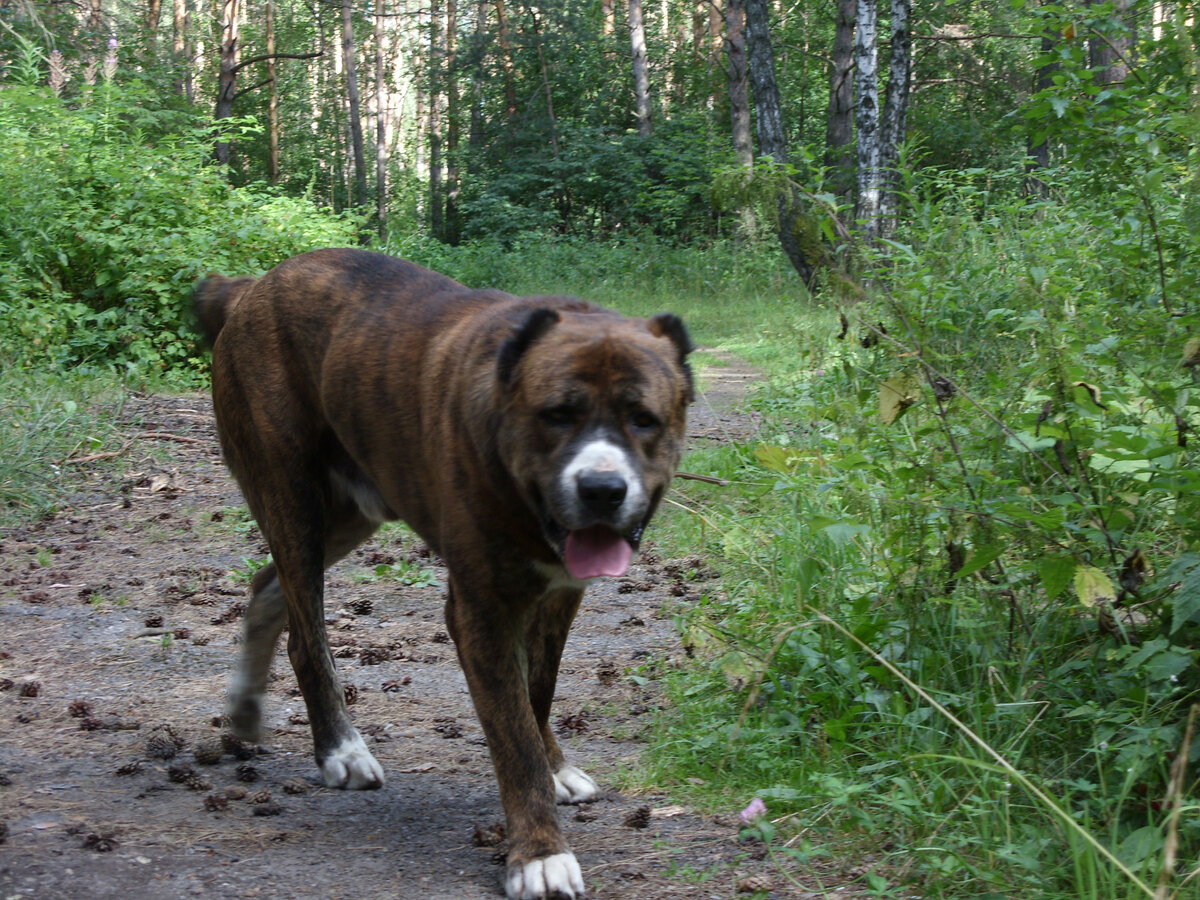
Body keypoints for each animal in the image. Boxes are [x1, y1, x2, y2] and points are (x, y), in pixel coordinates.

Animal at [190, 248, 691, 900]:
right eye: (557, 414)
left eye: (643, 419)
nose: (601, 488)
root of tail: (251, 288)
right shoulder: (481, 612)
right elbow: (513, 735)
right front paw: (540, 853)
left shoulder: (560, 597)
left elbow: (536, 695)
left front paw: (553, 768)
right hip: (292, 499)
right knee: (305, 633)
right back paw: (340, 750)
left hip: (351, 512)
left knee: (268, 587)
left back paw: (247, 706)